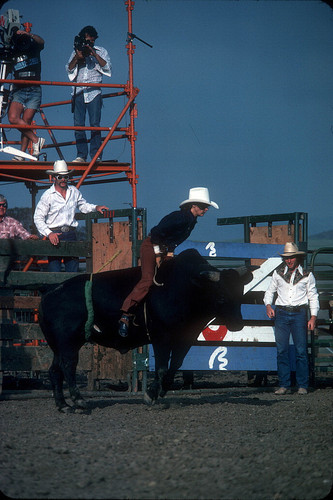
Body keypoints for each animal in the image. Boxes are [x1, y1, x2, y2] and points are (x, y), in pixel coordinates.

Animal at [39, 248, 252, 412]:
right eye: (222, 296)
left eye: (240, 294)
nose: (238, 324)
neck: (185, 288)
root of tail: (51, 291)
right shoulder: (161, 337)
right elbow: (162, 367)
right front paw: (150, 396)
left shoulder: (185, 339)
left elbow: (175, 365)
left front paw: (160, 391)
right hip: (68, 343)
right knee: (68, 366)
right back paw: (78, 401)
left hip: (58, 345)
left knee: (54, 370)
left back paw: (63, 405)